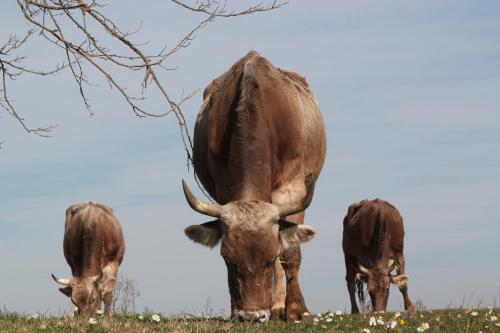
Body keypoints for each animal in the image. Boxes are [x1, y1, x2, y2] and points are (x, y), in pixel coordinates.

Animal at [182, 51, 326, 320]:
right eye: (227, 259)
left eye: (269, 259)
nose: (252, 316)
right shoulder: (223, 188)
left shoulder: (292, 190)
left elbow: (290, 254)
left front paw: (295, 309)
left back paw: (279, 307)